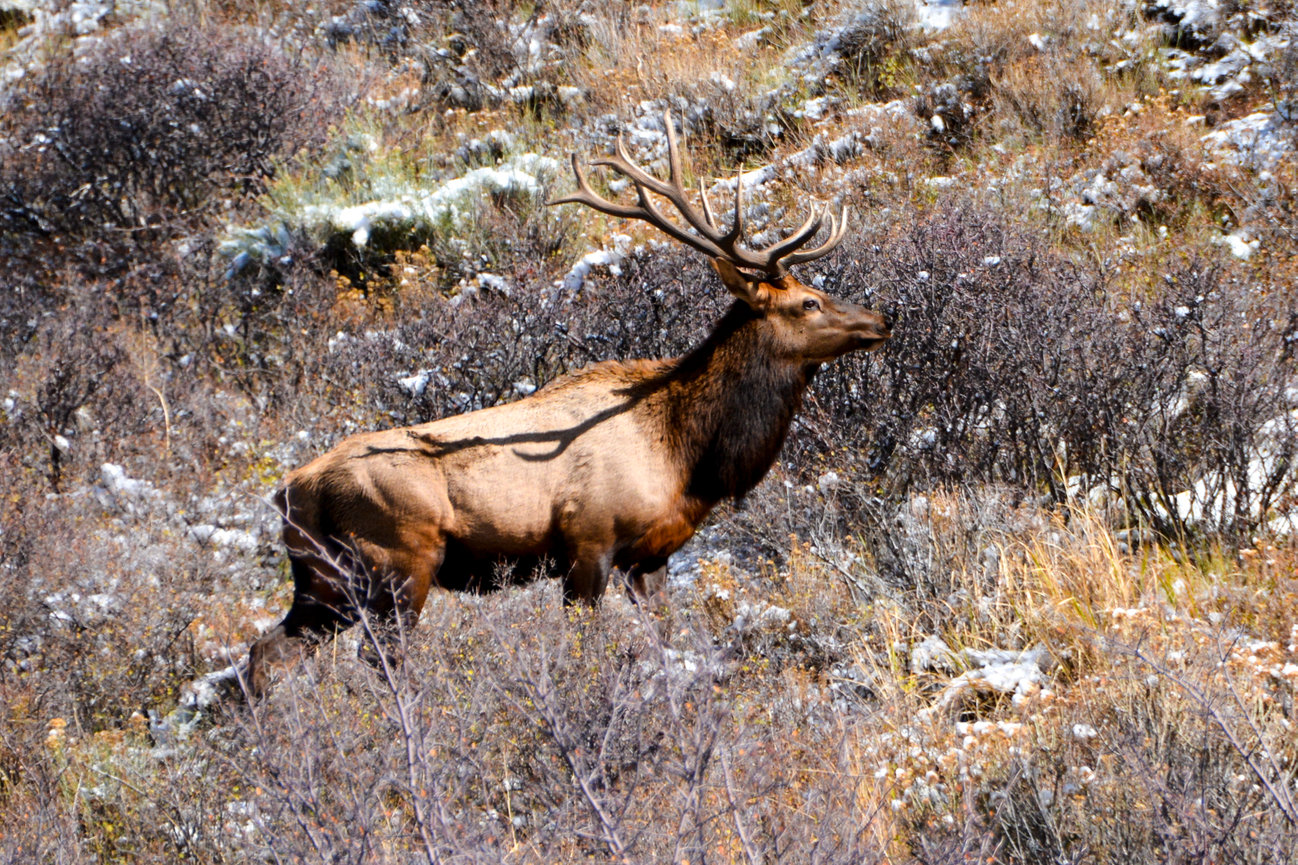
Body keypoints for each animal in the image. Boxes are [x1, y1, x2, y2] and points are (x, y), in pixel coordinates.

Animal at [243, 112, 890, 696]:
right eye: (808, 302)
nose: (880, 320)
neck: (687, 456)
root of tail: (292, 490)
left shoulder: (650, 557)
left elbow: (666, 640)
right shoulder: (588, 542)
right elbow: (583, 646)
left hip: (323, 581)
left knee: (263, 653)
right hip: (399, 563)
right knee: (378, 663)